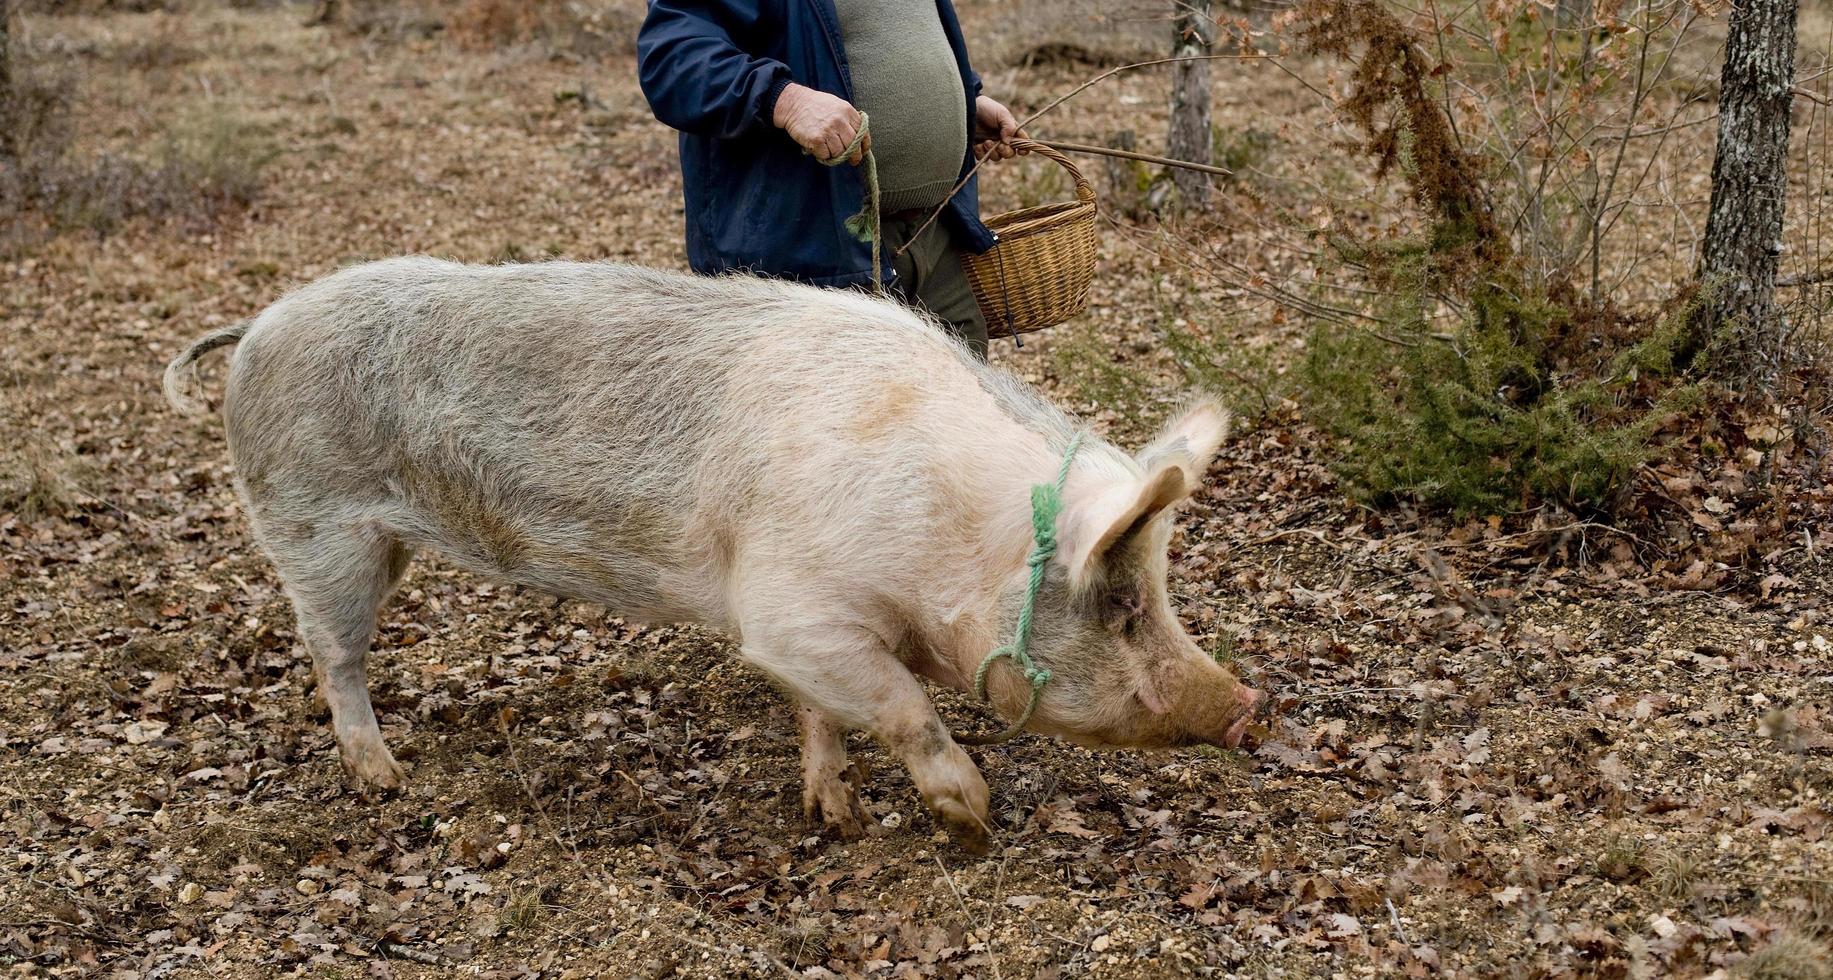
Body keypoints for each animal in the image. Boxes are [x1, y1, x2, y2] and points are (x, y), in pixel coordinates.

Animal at [164, 258, 1261, 849]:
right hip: (316, 528)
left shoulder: (818, 628)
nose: (1247, 703)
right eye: (1121, 605)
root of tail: (258, 323)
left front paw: (836, 817)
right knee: (331, 655)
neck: (947, 533)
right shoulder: (787, 609)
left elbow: (825, 716)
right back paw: (385, 778)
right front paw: (973, 822)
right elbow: (904, 708)